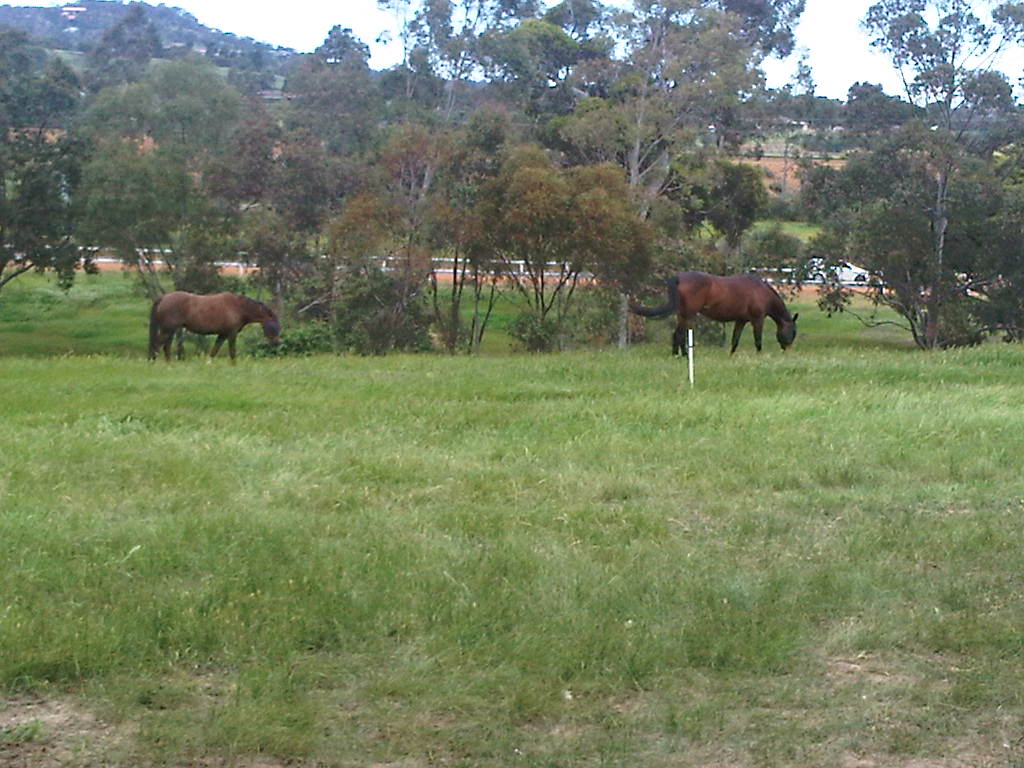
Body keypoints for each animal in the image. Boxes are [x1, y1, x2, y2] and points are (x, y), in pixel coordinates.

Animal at [148, 290, 280, 364]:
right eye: (275, 324)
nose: (275, 341)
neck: (238, 307)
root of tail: (163, 298)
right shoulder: (231, 334)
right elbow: (232, 352)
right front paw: (234, 365)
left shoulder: (222, 334)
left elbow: (214, 351)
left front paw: (208, 364)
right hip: (167, 329)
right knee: (157, 345)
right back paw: (152, 362)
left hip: (170, 330)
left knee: (166, 347)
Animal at [626, 272, 794, 360]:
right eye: (792, 333)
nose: (787, 351)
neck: (761, 291)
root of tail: (680, 277)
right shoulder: (757, 320)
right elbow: (758, 340)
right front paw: (759, 355)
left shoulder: (740, 320)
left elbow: (735, 340)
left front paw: (731, 356)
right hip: (689, 315)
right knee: (679, 335)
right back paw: (683, 356)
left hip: (683, 314)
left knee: (677, 335)